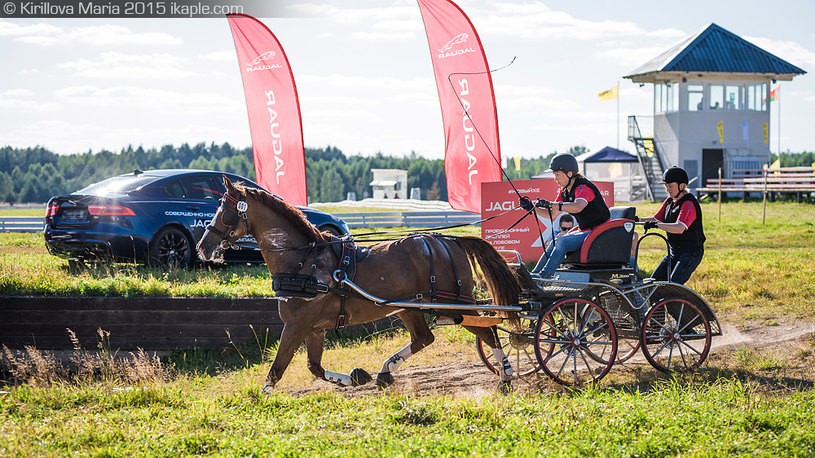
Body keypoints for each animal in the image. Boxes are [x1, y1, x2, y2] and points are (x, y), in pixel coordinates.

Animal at [196, 177, 524, 392]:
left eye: (224, 212)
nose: (203, 246)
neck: (304, 261)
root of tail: (449, 240)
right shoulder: (313, 328)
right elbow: (314, 367)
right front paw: (355, 376)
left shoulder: (296, 325)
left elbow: (276, 370)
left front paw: (262, 399)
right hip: (410, 307)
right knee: (424, 338)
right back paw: (385, 372)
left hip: (454, 305)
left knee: (488, 331)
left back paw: (506, 374)